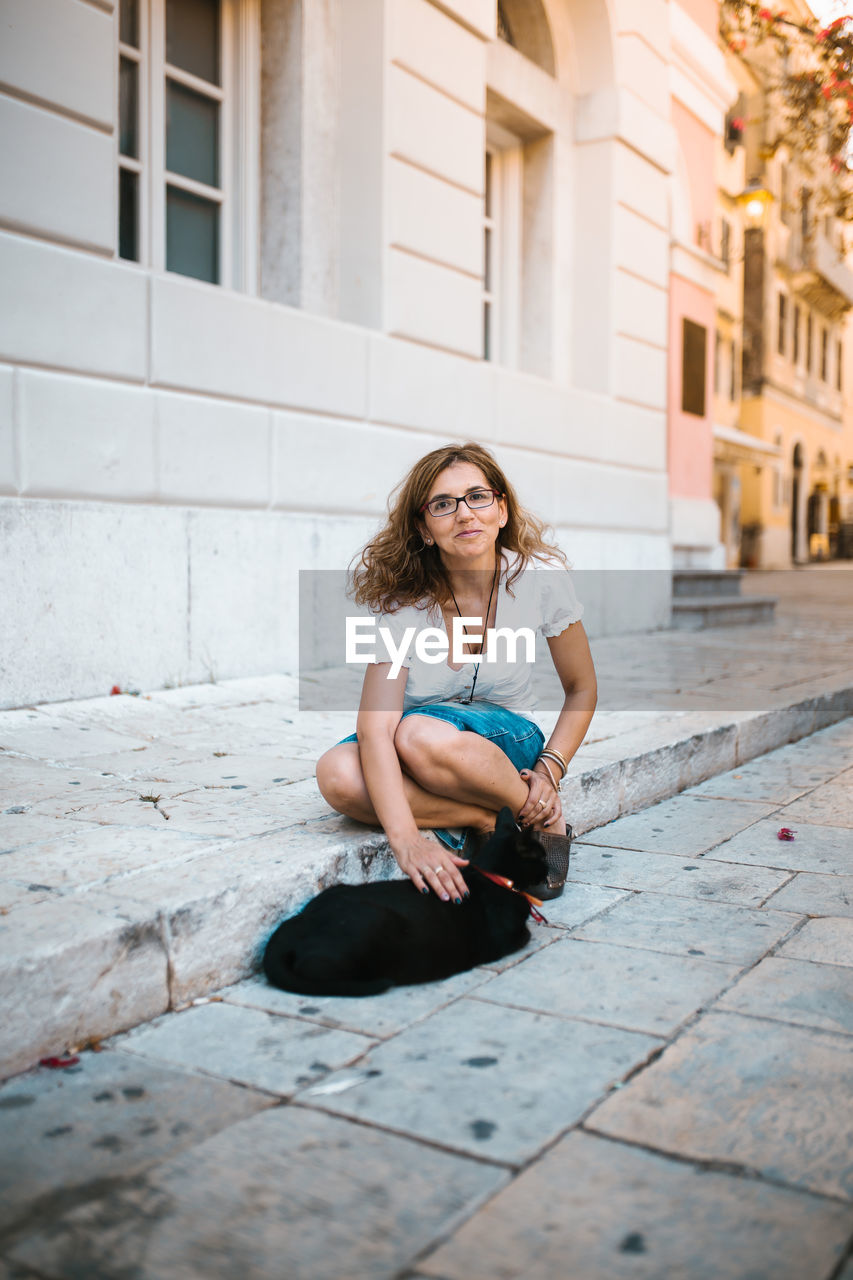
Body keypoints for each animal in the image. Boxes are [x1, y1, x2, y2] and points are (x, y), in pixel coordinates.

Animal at [262, 808, 548, 998]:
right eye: (542, 857)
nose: (550, 869)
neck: (492, 876)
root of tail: (293, 924)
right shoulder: (510, 937)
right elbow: (526, 935)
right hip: (369, 927)